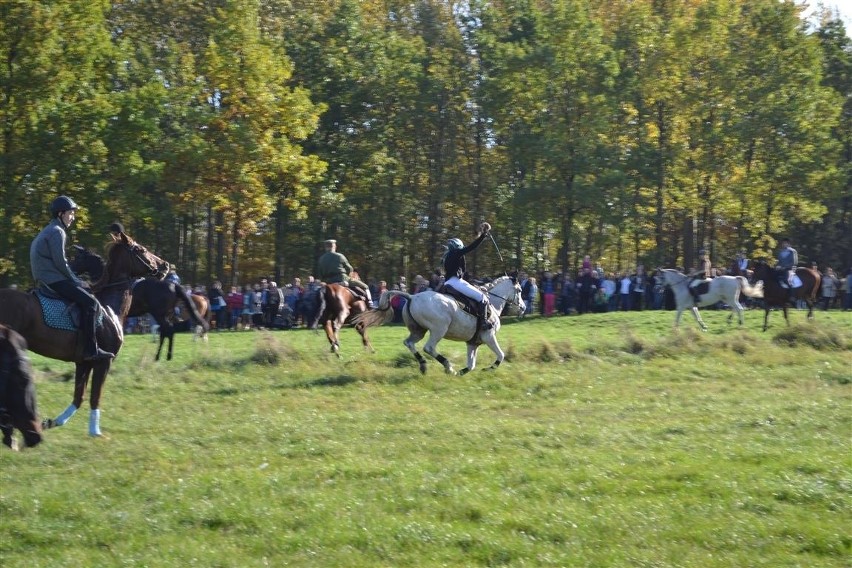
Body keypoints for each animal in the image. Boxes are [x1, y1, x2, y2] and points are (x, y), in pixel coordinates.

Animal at [0, 233, 167, 438]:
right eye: (141, 249)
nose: (164, 265)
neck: (109, 308)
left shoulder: (83, 362)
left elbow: (78, 397)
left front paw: (53, 422)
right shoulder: (103, 361)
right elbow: (95, 396)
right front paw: (95, 431)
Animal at [348, 276, 524, 374]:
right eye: (520, 290)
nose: (523, 308)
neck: (492, 304)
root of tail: (412, 296)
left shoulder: (473, 342)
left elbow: (471, 365)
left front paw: (462, 372)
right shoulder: (489, 336)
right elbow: (501, 355)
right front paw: (489, 369)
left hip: (419, 331)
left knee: (409, 343)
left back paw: (423, 365)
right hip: (439, 329)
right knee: (429, 348)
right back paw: (448, 367)